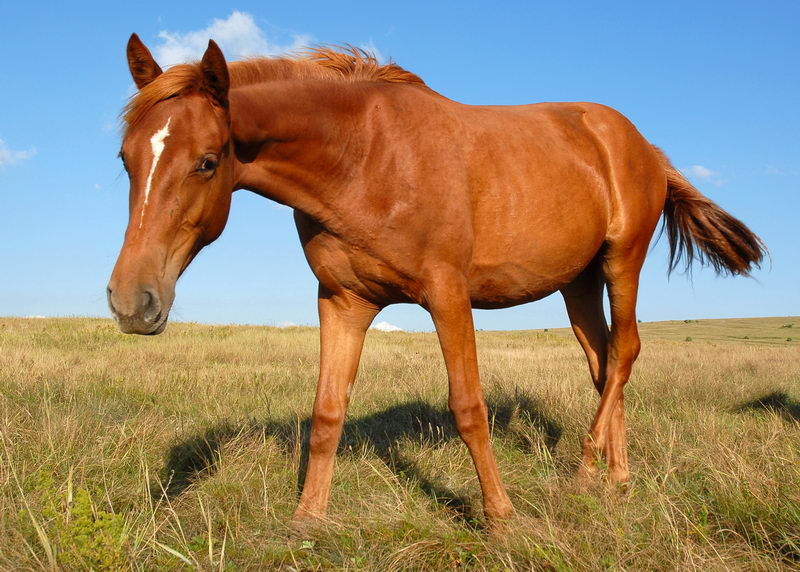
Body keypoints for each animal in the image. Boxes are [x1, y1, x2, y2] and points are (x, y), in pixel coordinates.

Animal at [107, 34, 765, 528]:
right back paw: (617, 479)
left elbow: (468, 407)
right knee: (605, 366)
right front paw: (306, 520)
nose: (132, 302)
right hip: (576, 282)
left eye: (207, 161)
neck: (365, 156)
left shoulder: (447, 295)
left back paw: (584, 472)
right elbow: (327, 412)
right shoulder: (342, 301)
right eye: (125, 158)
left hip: (620, 262)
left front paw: (501, 519)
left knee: (625, 351)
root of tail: (643, 145)